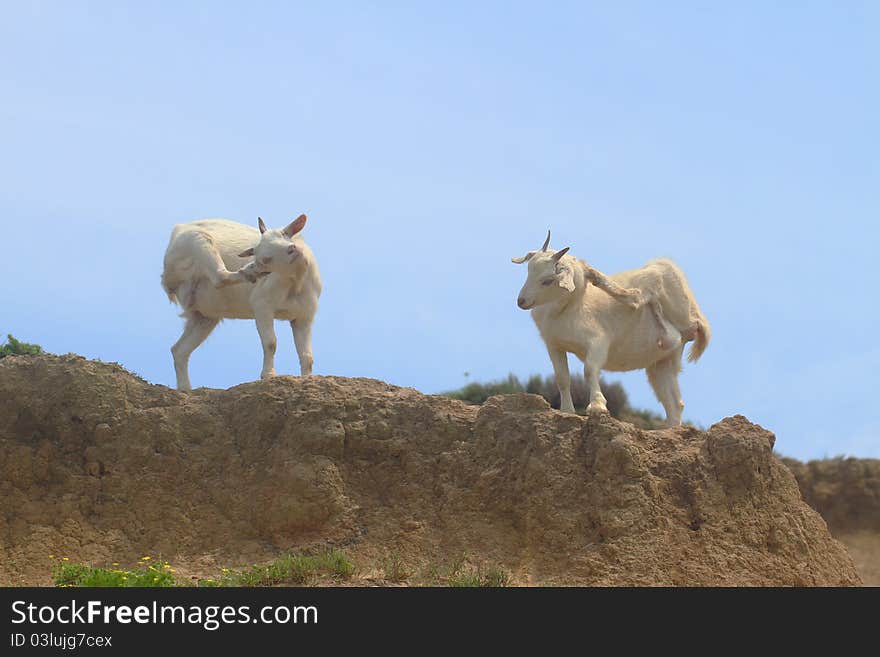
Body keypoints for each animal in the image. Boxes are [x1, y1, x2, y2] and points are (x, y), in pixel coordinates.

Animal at [160, 215, 322, 390]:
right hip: (198, 241)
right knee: (220, 277)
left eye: (285, 234)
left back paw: (185, 388)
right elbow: (270, 343)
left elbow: (307, 356)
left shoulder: (304, 316)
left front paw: (308, 380)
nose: (293, 249)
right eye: (264, 258)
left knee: (179, 350)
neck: (295, 282)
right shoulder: (262, 305)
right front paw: (268, 375)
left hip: (205, 315)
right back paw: (250, 272)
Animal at [516, 231, 708, 426]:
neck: (569, 308)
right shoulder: (554, 345)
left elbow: (589, 370)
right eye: (528, 270)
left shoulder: (598, 342)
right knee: (675, 403)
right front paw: (567, 410)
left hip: (664, 286)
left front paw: (597, 406)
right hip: (662, 363)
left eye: (547, 281)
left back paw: (597, 276)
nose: (521, 301)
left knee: (639, 297)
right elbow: (562, 377)